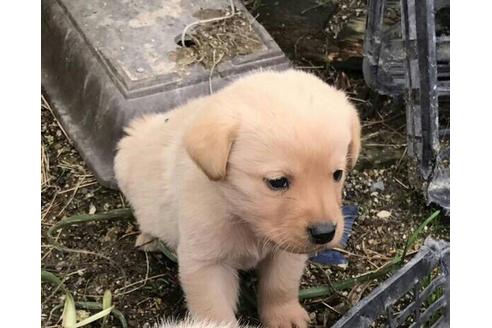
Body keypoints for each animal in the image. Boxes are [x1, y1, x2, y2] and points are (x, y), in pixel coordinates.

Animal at [114, 70, 362, 328]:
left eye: (337, 174)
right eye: (277, 182)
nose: (325, 233)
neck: (242, 215)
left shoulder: (285, 252)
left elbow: (280, 286)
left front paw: (285, 316)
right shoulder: (206, 264)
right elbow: (215, 312)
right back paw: (149, 239)